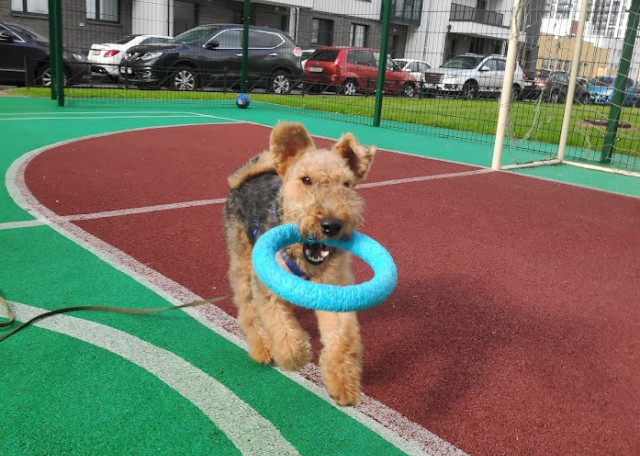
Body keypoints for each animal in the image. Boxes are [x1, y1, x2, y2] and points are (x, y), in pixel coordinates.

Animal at [222, 122, 376, 406]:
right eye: (306, 180)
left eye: (347, 184)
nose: (331, 225)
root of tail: (249, 176)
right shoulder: (268, 288)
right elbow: (282, 328)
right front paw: (296, 355)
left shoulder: (334, 288)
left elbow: (341, 338)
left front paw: (344, 386)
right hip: (243, 262)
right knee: (247, 307)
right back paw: (262, 348)